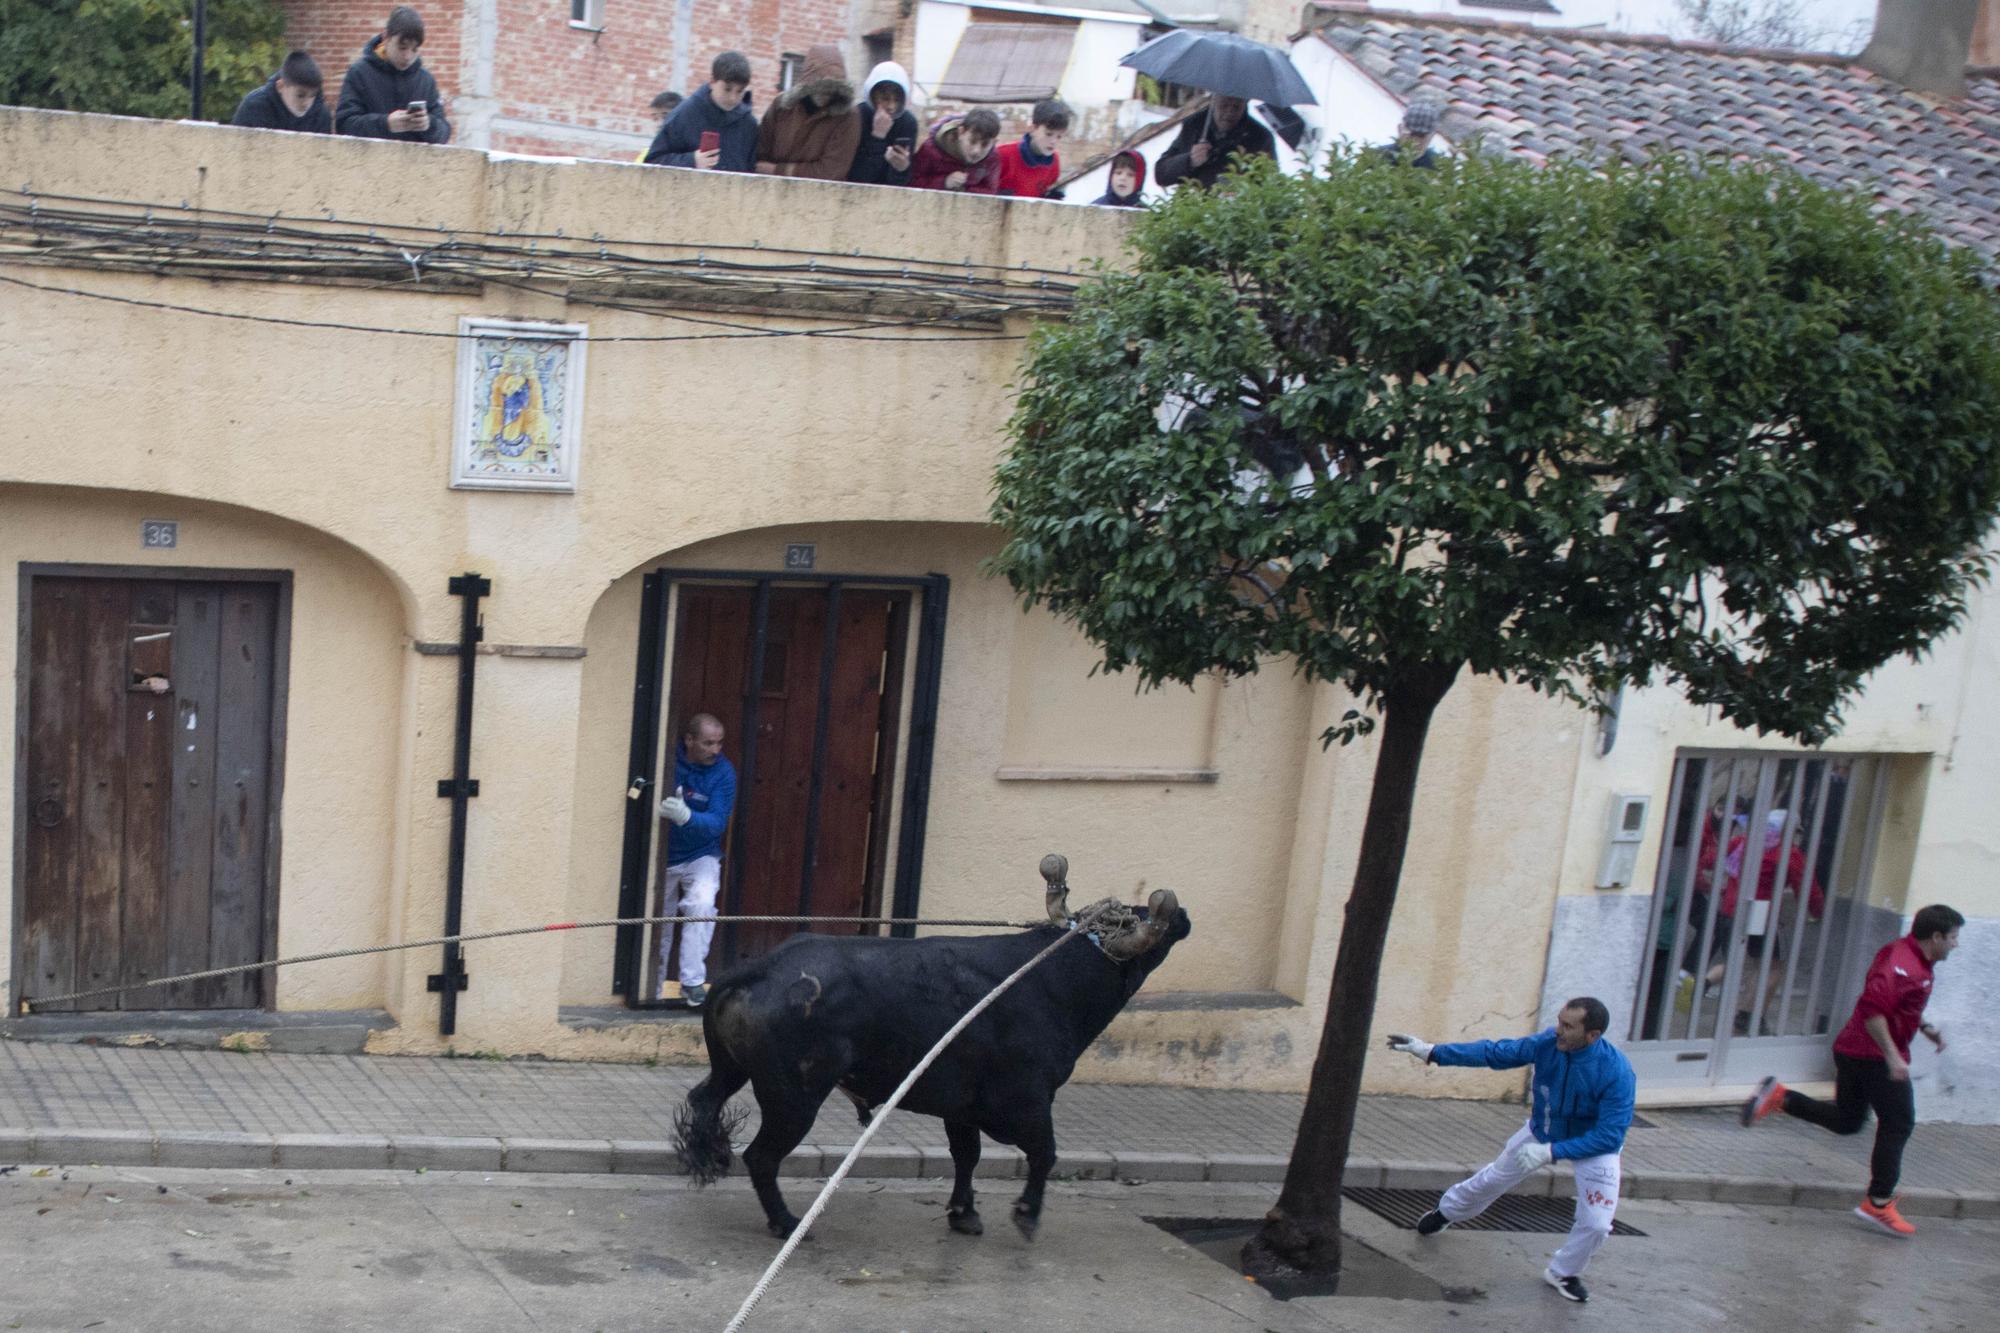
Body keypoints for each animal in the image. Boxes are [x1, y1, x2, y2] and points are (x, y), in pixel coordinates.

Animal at [680, 892, 1192, 1232]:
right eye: (1135, 919)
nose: (1183, 914)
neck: (1055, 978)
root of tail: (764, 966)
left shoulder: (961, 1108)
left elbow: (967, 1155)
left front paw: (964, 1213)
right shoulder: (1028, 1100)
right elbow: (1044, 1153)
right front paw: (1026, 1213)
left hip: (733, 1072)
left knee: (705, 1100)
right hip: (795, 1100)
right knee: (762, 1156)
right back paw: (787, 1221)